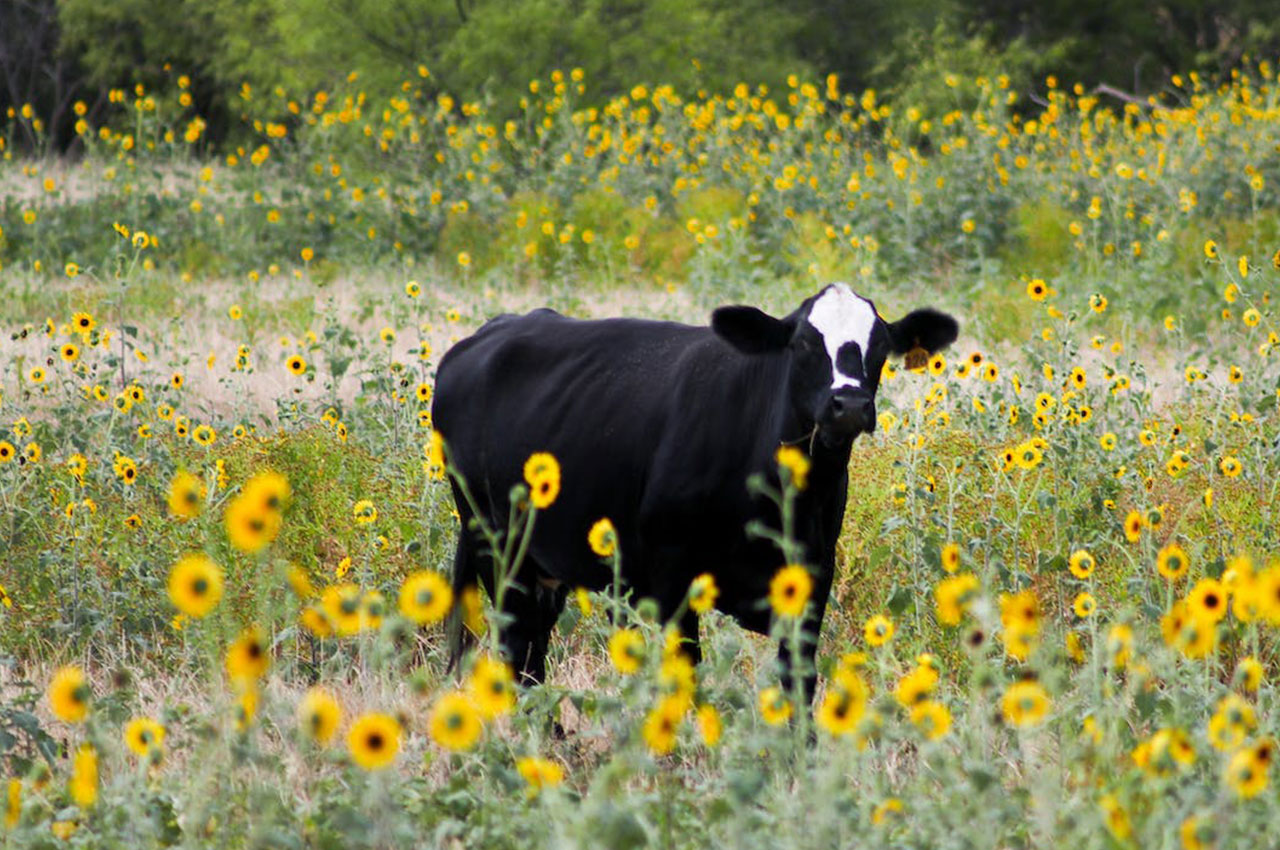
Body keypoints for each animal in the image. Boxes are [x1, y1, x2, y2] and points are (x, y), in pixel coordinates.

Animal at [435, 284, 957, 696]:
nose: (848, 404)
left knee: (533, 653)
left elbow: (799, 682)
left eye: (880, 345)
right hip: (496, 548)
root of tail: (489, 333)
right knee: (516, 652)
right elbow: (685, 670)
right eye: (804, 343)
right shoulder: (672, 574)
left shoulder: (814, 574)